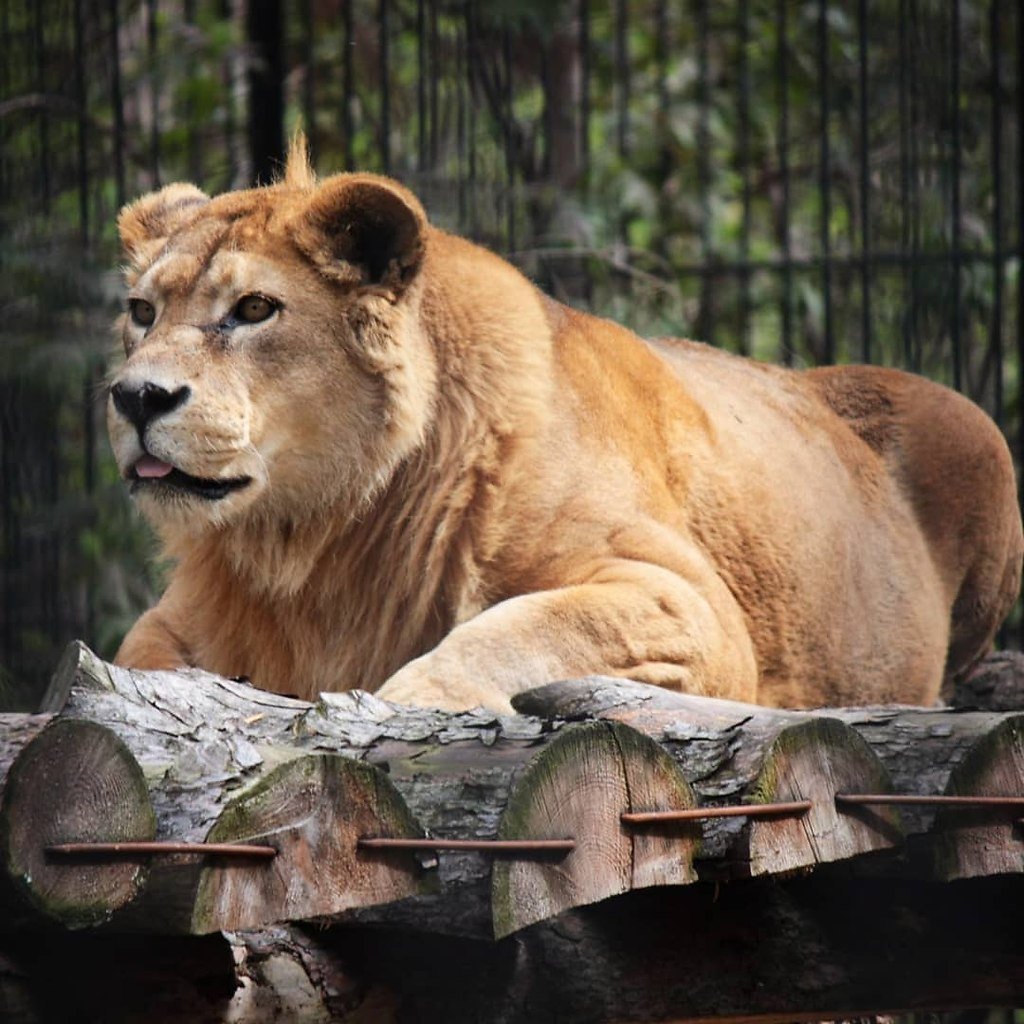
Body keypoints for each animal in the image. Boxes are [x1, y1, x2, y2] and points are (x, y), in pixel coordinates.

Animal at [105, 138, 1024, 712]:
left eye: (255, 309)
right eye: (143, 313)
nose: (136, 398)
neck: (318, 536)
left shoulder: (688, 605)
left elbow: (523, 626)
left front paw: (402, 702)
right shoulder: (178, 620)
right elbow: (127, 669)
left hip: (978, 436)